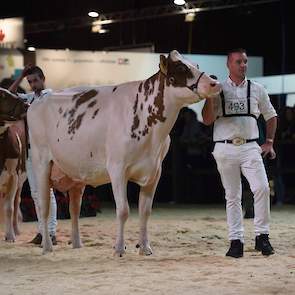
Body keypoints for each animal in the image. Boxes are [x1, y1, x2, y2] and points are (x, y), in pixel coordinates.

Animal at [27, 50, 222, 254]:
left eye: (196, 65)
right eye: (182, 68)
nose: (215, 83)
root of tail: (38, 100)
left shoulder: (155, 171)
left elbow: (145, 211)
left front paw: (145, 248)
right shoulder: (117, 168)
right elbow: (123, 211)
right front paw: (119, 248)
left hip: (76, 174)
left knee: (74, 208)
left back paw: (77, 244)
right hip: (40, 163)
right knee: (43, 207)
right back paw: (46, 246)